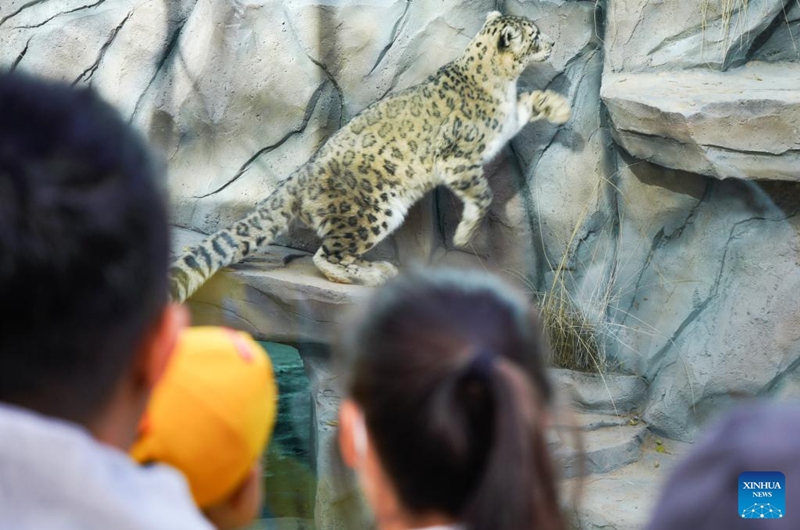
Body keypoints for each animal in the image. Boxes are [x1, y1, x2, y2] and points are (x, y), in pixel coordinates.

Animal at [168, 10, 571, 303]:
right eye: (535, 35)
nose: (553, 41)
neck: (501, 82)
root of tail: (305, 170)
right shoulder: (458, 157)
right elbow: (483, 194)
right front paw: (465, 233)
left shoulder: (507, 117)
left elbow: (526, 104)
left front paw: (559, 107)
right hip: (373, 209)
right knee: (326, 256)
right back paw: (376, 272)